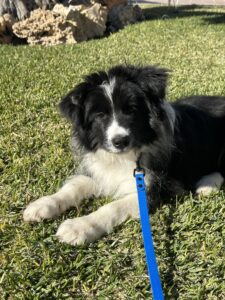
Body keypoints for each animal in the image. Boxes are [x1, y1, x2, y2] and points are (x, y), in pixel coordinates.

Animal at [23, 64, 225, 245]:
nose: (120, 141)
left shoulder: (156, 187)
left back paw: (207, 185)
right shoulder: (101, 171)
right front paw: (42, 205)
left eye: (131, 110)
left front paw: (78, 227)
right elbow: (73, 187)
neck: (125, 156)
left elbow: (112, 207)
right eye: (100, 115)